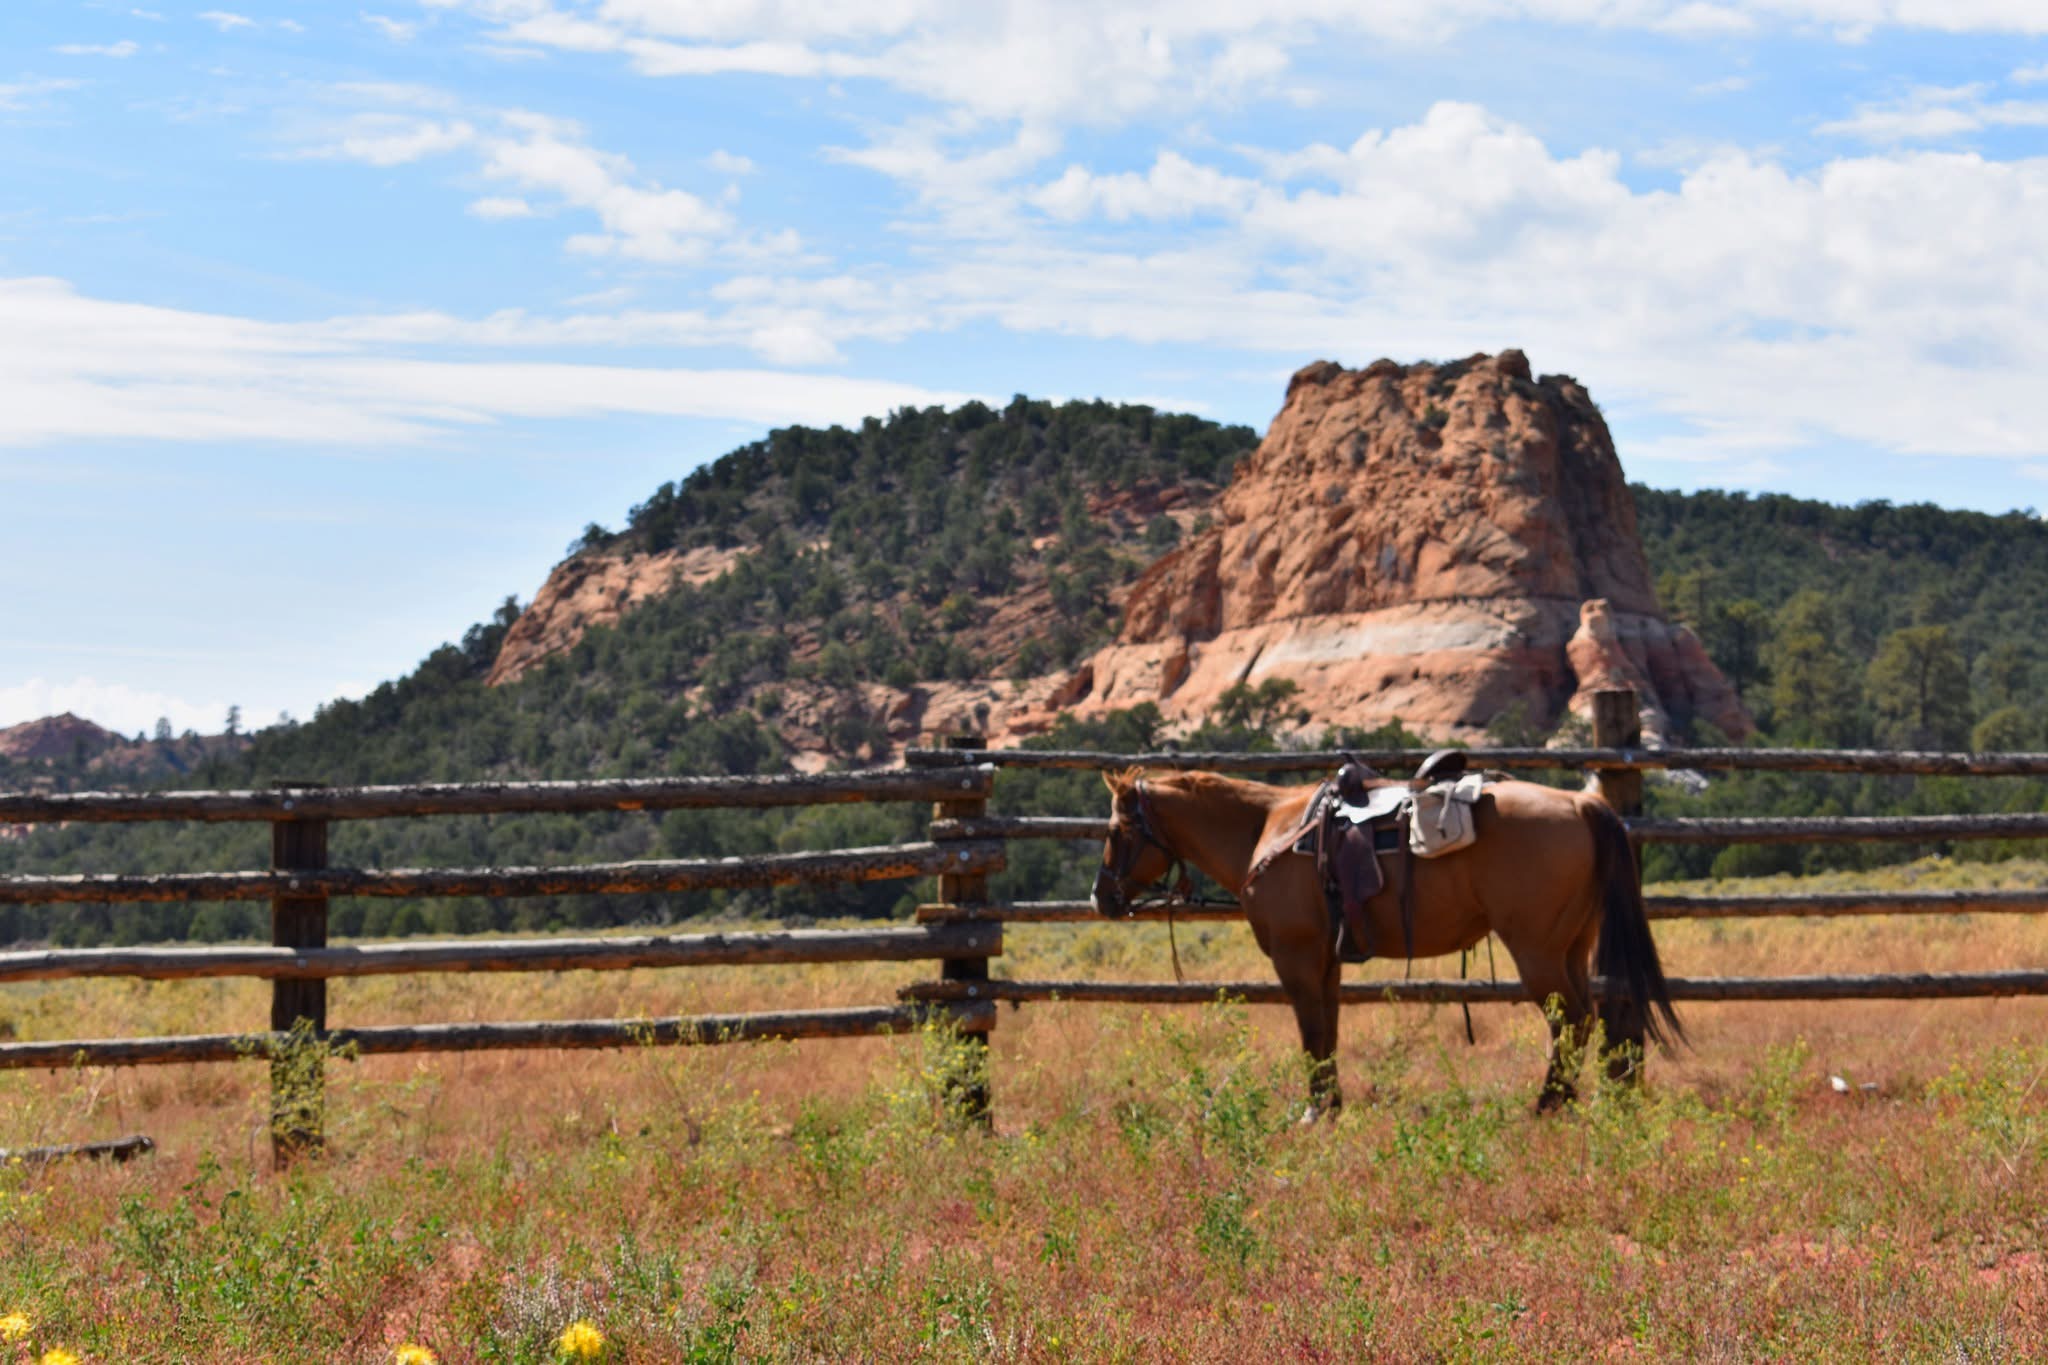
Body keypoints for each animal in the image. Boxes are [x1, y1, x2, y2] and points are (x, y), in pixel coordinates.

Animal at [1089, 767, 1682, 1115]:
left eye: (1117, 831)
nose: (1102, 897)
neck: (1269, 829)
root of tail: (1581, 804)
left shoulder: (1294, 955)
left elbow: (1310, 1031)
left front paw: (1313, 1111)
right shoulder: (1325, 960)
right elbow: (1327, 1030)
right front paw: (1331, 1106)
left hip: (1536, 950)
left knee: (1571, 1020)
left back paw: (1547, 1105)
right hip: (1573, 945)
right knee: (1591, 1018)